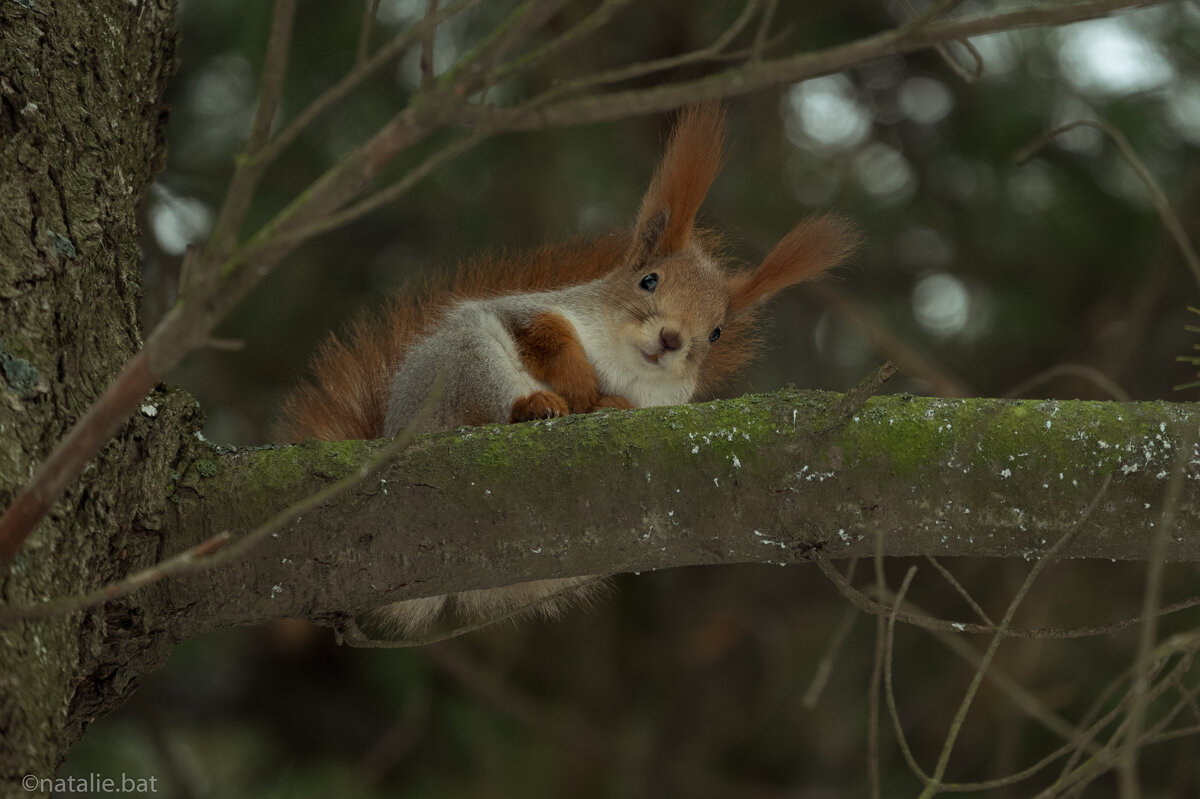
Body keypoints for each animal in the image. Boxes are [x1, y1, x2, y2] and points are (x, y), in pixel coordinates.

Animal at [276, 102, 859, 633]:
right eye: (648, 280)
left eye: (716, 332)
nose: (672, 339)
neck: (625, 366)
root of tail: (394, 423)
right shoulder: (534, 310)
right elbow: (544, 331)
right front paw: (579, 382)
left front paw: (611, 403)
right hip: (462, 365)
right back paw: (538, 404)